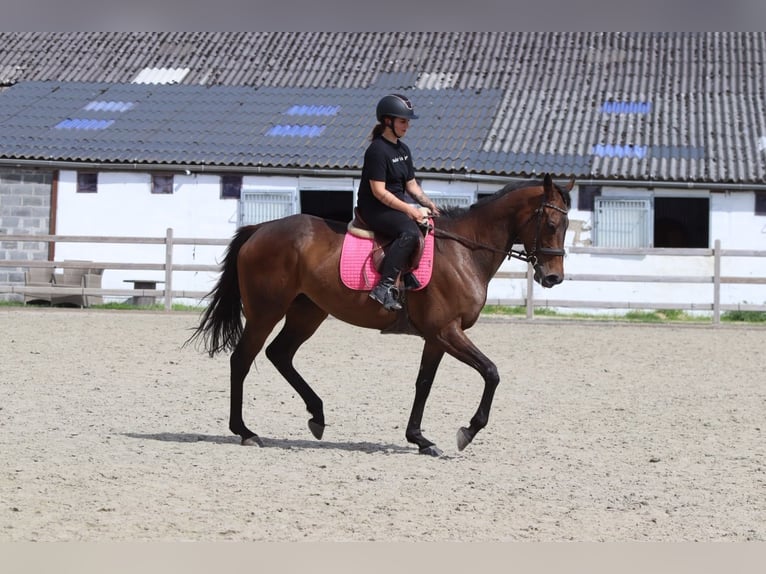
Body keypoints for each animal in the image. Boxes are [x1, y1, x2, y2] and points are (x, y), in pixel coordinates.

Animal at [187, 173, 572, 456]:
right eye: (552, 223)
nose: (553, 278)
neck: (464, 250)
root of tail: (260, 230)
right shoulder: (447, 330)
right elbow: (491, 373)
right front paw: (467, 431)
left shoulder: (437, 336)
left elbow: (424, 383)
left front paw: (419, 439)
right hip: (266, 312)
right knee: (242, 359)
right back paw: (245, 431)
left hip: (307, 312)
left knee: (279, 354)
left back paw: (317, 415)